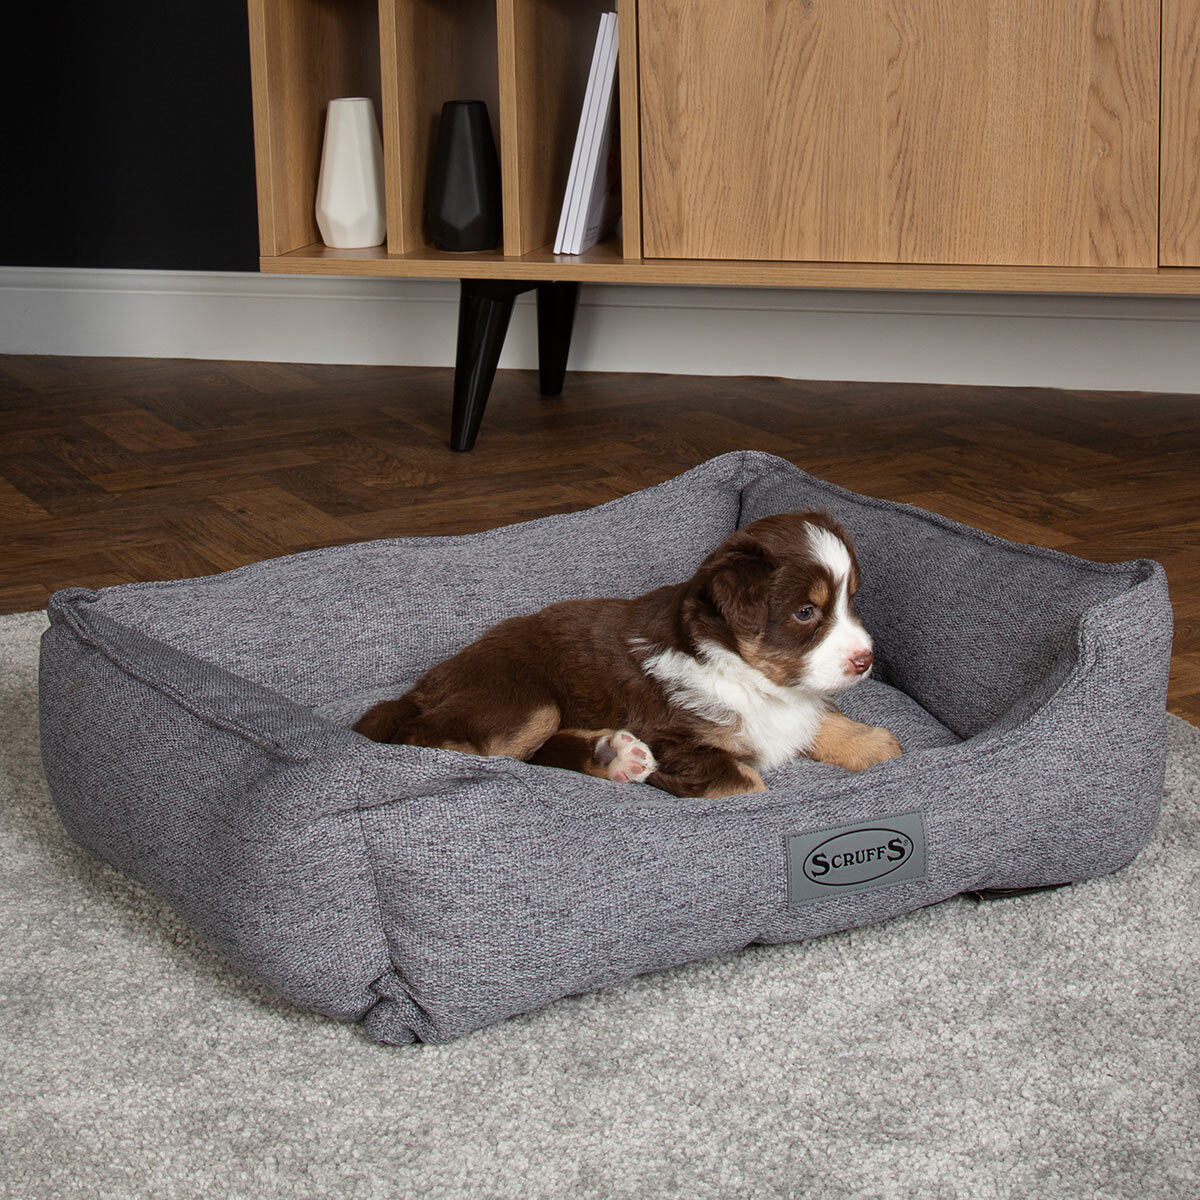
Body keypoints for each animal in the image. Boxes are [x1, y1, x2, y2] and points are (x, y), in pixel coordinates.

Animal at [352, 508, 902, 796]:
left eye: (850, 601)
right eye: (806, 613)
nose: (866, 660)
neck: (737, 669)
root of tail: (423, 684)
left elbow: (817, 717)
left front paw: (876, 745)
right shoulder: (679, 744)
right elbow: (748, 785)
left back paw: (612, 754)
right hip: (524, 699)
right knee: (428, 738)